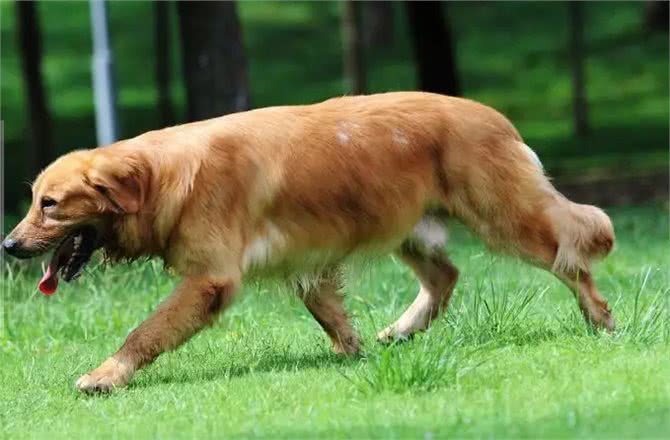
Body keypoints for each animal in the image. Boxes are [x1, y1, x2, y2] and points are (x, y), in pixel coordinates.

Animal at [3, 92, 616, 392]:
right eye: (33, 200)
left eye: (49, 204)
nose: (8, 246)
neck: (163, 177)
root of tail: (497, 117)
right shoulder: (305, 263)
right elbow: (331, 316)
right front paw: (354, 353)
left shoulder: (210, 278)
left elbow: (145, 332)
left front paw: (106, 376)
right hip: (404, 223)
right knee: (446, 276)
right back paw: (401, 329)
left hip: (503, 219)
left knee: (570, 254)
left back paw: (601, 318)